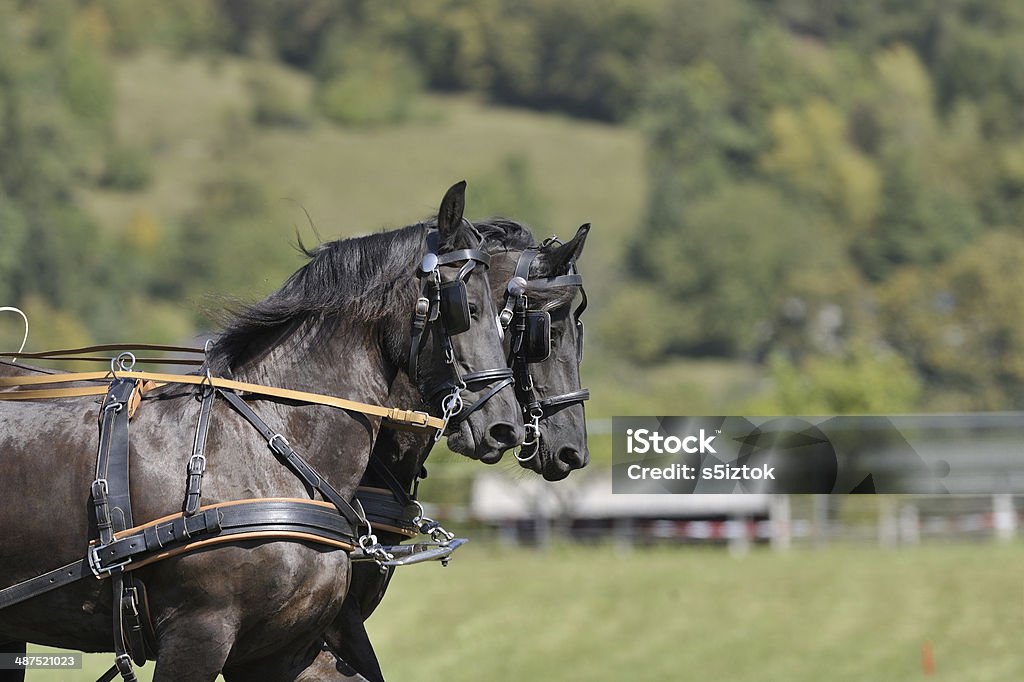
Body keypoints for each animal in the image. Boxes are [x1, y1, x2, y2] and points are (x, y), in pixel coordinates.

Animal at [0, 182, 524, 679]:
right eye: (467, 307)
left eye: (508, 318)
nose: (506, 427)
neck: (266, 447)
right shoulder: (199, 634)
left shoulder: (281, 651)